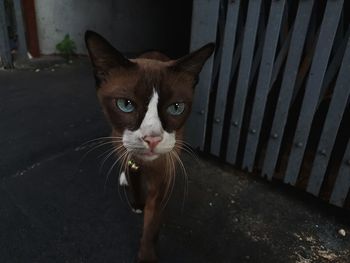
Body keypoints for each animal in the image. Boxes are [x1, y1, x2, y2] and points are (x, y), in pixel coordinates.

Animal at [85, 31, 213, 263]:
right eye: (125, 105)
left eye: (176, 108)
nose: (152, 138)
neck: (144, 165)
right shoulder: (129, 157)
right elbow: (134, 179)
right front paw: (137, 204)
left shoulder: (164, 175)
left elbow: (152, 224)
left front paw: (146, 255)